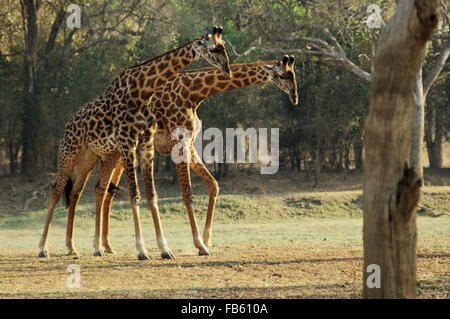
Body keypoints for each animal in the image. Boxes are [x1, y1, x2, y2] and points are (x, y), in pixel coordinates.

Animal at [37, 26, 230, 258]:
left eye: (224, 46)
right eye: (214, 48)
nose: (227, 69)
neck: (142, 91)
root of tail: (68, 124)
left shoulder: (145, 145)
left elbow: (151, 195)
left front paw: (165, 249)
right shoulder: (128, 143)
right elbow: (134, 195)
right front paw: (142, 250)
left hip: (87, 157)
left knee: (75, 192)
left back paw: (72, 247)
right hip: (69, 152)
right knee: (56, 190)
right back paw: (42, 248)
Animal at [95, 55, 298, 260]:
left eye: (294, 74)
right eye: (283, 75)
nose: (295, 97)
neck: (193, 94)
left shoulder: (190, 143)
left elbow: (213, 185)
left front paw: (207, 241)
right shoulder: (178, 143)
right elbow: (187, 193)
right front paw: (200, 244)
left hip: (121, 154)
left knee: (108, 190)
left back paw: (108, 246)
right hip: (116, 151)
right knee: (101, 188)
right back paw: (99, 248)